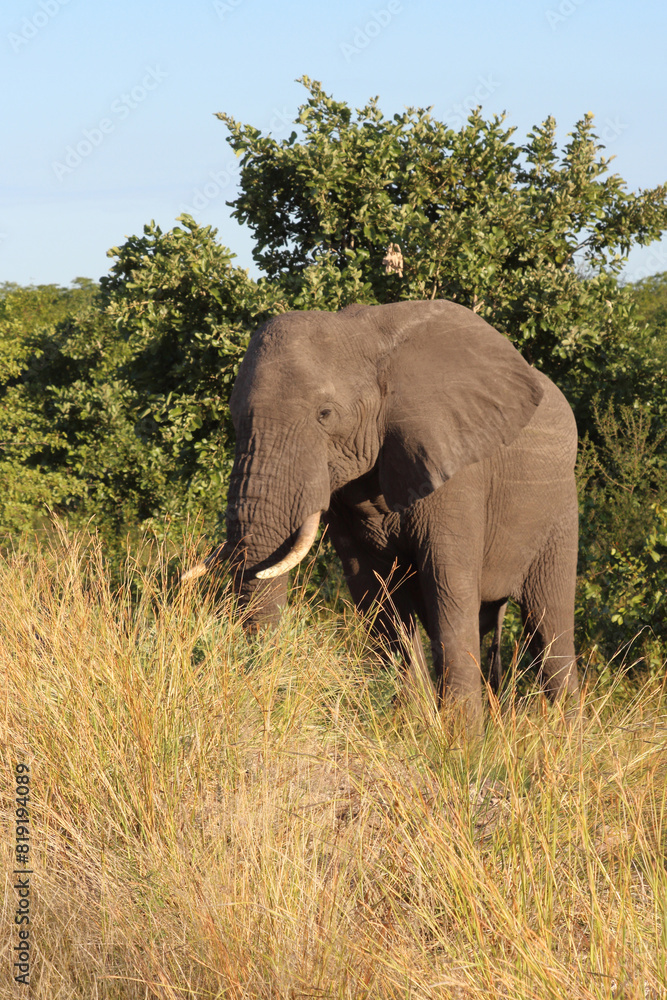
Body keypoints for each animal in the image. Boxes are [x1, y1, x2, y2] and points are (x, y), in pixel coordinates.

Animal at [184, 299, 579, 725]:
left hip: (560, 508)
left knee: (550, 626)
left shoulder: (458, 471)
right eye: (233, 417)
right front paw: (409, 728)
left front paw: (460, 739)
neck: (364, 336)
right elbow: (376, 591)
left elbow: (448, 585)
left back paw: (565, 735)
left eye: (325, 414)